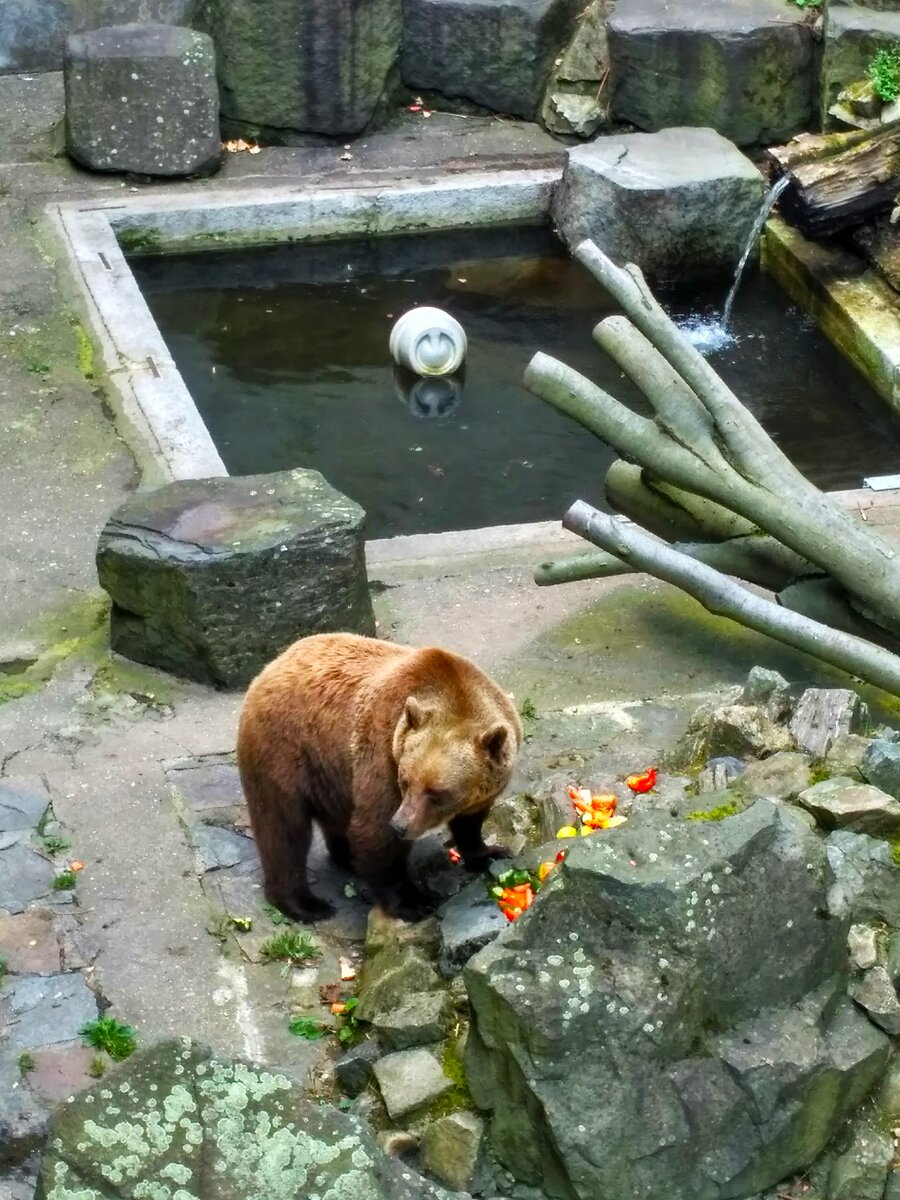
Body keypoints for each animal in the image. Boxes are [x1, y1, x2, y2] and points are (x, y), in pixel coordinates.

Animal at [236, 633, 525, 921]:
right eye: (405, 781)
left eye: (437, 793)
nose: (401, 825)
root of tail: (272, 665)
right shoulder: (384, 752)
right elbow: (375, 832)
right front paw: (414, 901)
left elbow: (470, 821)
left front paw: (489, 853)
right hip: (284, 750)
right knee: (284, 829)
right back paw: (306, 903)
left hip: (332, 773)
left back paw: (347, 859)